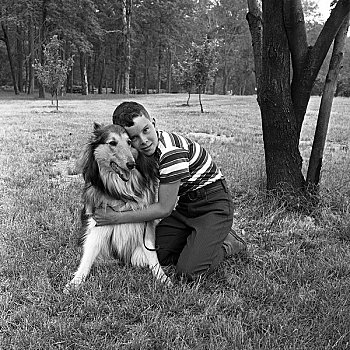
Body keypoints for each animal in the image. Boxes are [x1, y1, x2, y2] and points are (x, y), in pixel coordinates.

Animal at [64, 123, 172, 292]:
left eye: (129, 142)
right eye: (112, 143)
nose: (131, 164)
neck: (120, 192)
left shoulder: (146, 222)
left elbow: (152, 254)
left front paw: (162, 277)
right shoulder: (97, 224)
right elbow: (87, 257)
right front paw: (75, 282)